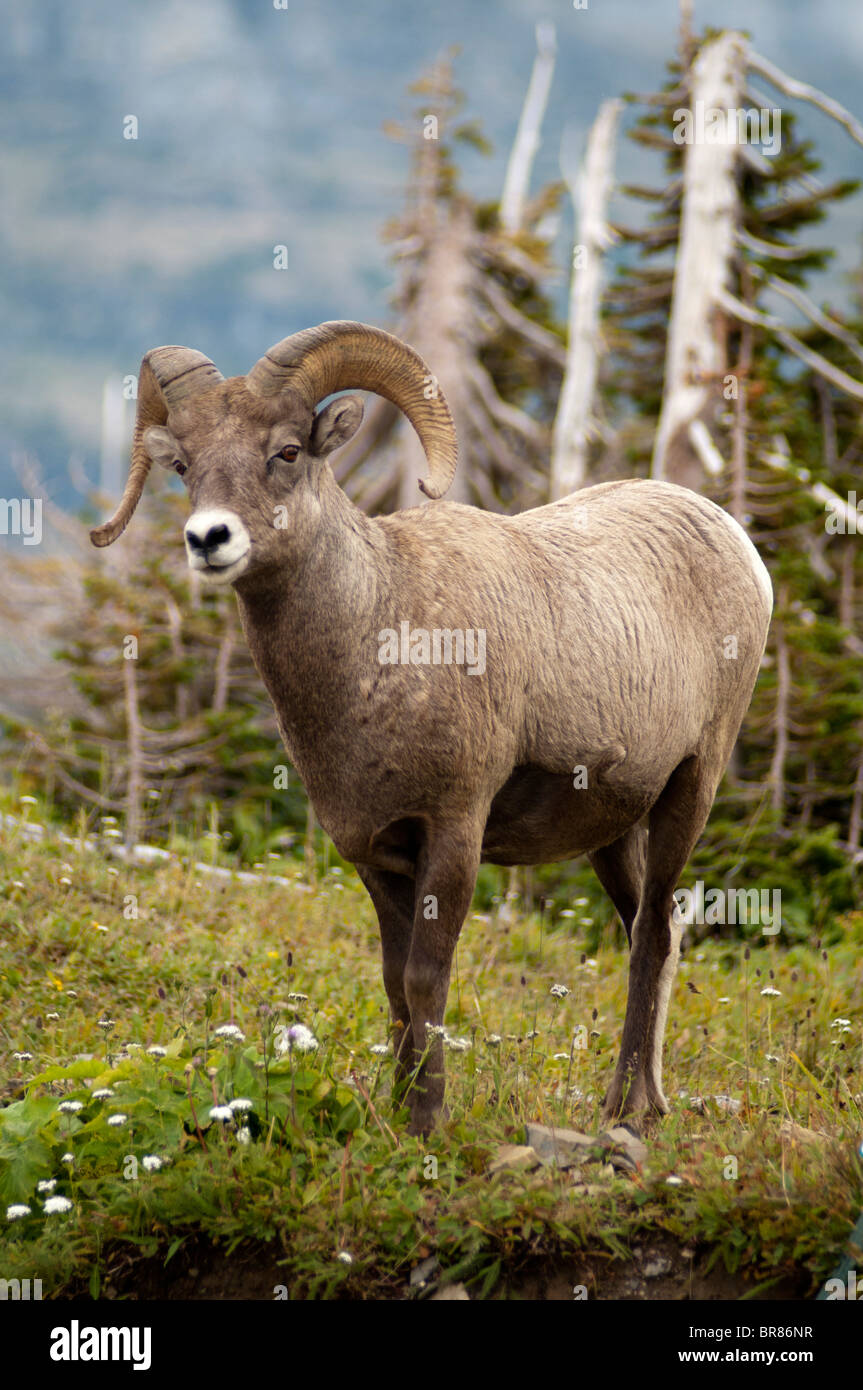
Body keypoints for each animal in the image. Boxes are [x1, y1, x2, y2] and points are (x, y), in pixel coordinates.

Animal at [91, 319, 772, 1134]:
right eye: (184, 464)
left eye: (285, 452)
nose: (208, 539)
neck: (380, 642)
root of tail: (736, 541)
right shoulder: (373, 853)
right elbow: (393, 987)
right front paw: (395, 1114)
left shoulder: (453, 830)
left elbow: (425, 980)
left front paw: (428, 1126)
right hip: (611, 831)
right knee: (653, 933)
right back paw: (650, 1100)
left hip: (691, 788)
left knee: (652, 937)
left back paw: (626, 1109)